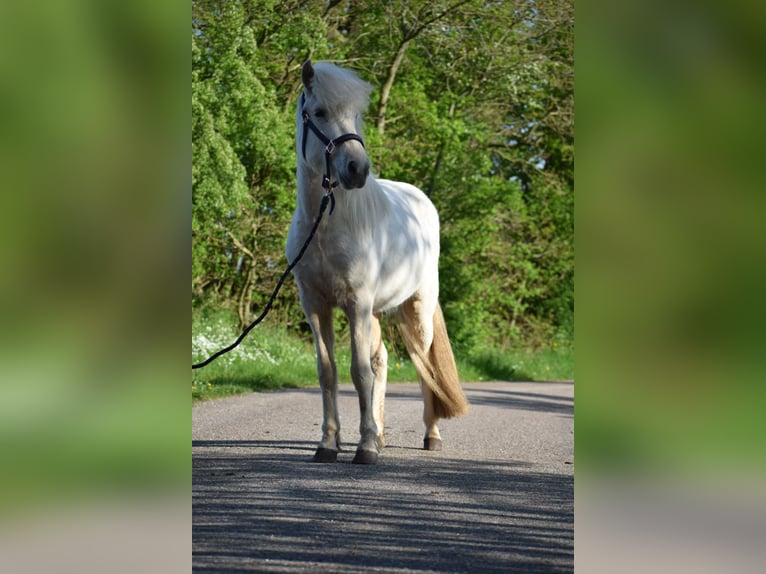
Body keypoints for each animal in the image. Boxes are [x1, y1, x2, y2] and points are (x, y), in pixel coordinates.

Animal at [286, 60, 468, 466]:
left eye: (355, 114)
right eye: (318, 112)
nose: (358, 169)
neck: (325, 225)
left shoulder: (357, 304)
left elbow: (360, 372)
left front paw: (365, 448)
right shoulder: (316, 306)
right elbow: (329, 372)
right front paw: (330, 444)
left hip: (415, 309)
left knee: (424, 367)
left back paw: (430, 436)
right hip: (375, 312)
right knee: (382, 359)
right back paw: (381, 433)